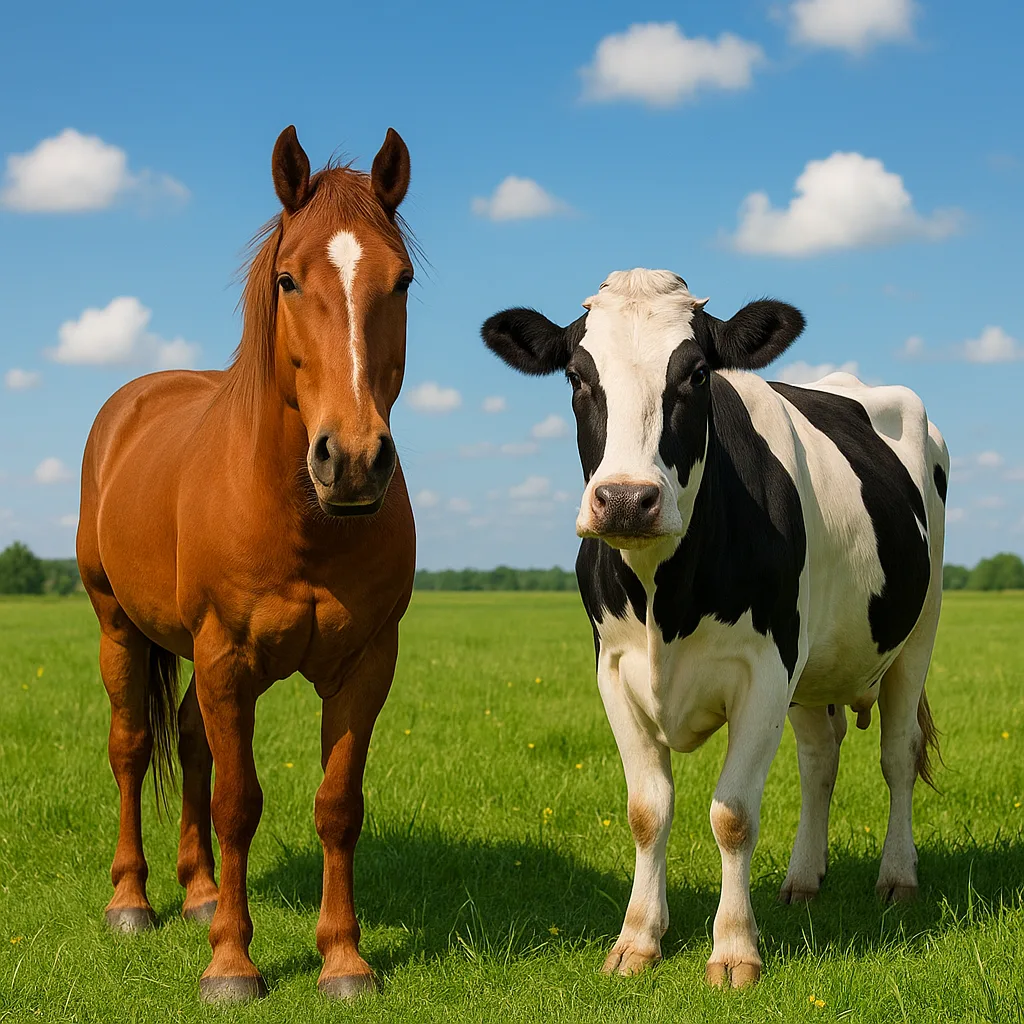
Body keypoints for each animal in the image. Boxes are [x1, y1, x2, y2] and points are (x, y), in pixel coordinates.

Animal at [76, 125, 417, 1004]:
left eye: (400, 280)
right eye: (289, 279)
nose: (353, 461)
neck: (302, 522)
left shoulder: (366, 664)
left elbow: (337, 806)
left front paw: (344, 960)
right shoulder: (227, 656)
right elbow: (238, 804)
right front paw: (231, 964)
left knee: (193, 743)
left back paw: (197, 892)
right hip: (119, 628)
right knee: (132, 748)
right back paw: (133, 901)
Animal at [481, 269, 946, 988]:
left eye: (697, 373)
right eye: (577, 376)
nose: (626, 500)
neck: (663, 601)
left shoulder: (764, 672)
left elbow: (733, 814)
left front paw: (733, 950)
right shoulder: (614, 671)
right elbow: (647, 811)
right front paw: (638, 940)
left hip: (916, 631)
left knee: (897, 755)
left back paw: (897, 878)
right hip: (814, 666)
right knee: (820, 760)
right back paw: (803, 879)